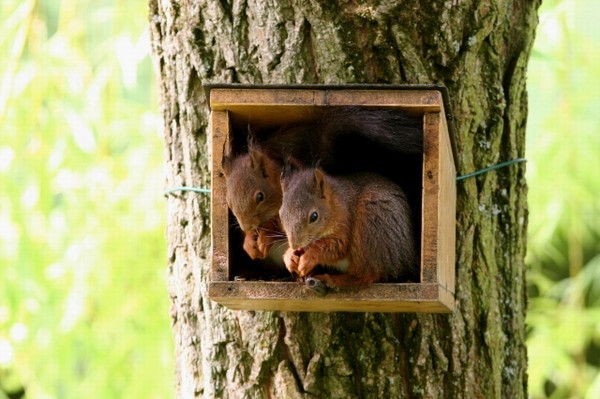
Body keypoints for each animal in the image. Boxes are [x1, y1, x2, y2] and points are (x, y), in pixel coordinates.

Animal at [278, 166, 414, 288]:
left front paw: (308, 258)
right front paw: (289, 256)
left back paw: (333, 280)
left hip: (372, 227)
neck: (336, 205)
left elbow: (338, 246)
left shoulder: (345, 223)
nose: (295, 245)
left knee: (366, 275)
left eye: (314, 216)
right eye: (281, 214)